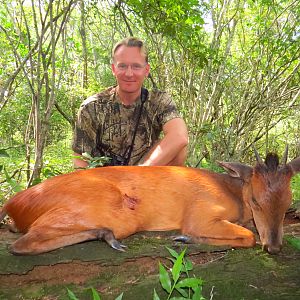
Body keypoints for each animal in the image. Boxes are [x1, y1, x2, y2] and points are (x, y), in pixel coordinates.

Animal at [0, 149, 300, 254]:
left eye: (289, 202)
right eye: (255, 201)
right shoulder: (199, 212)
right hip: (114, 212)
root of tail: (14, 203)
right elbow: (249, 237)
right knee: (21, 244)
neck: (232, 193)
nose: (274, 248)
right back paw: (107, 236)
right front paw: (184, 238)